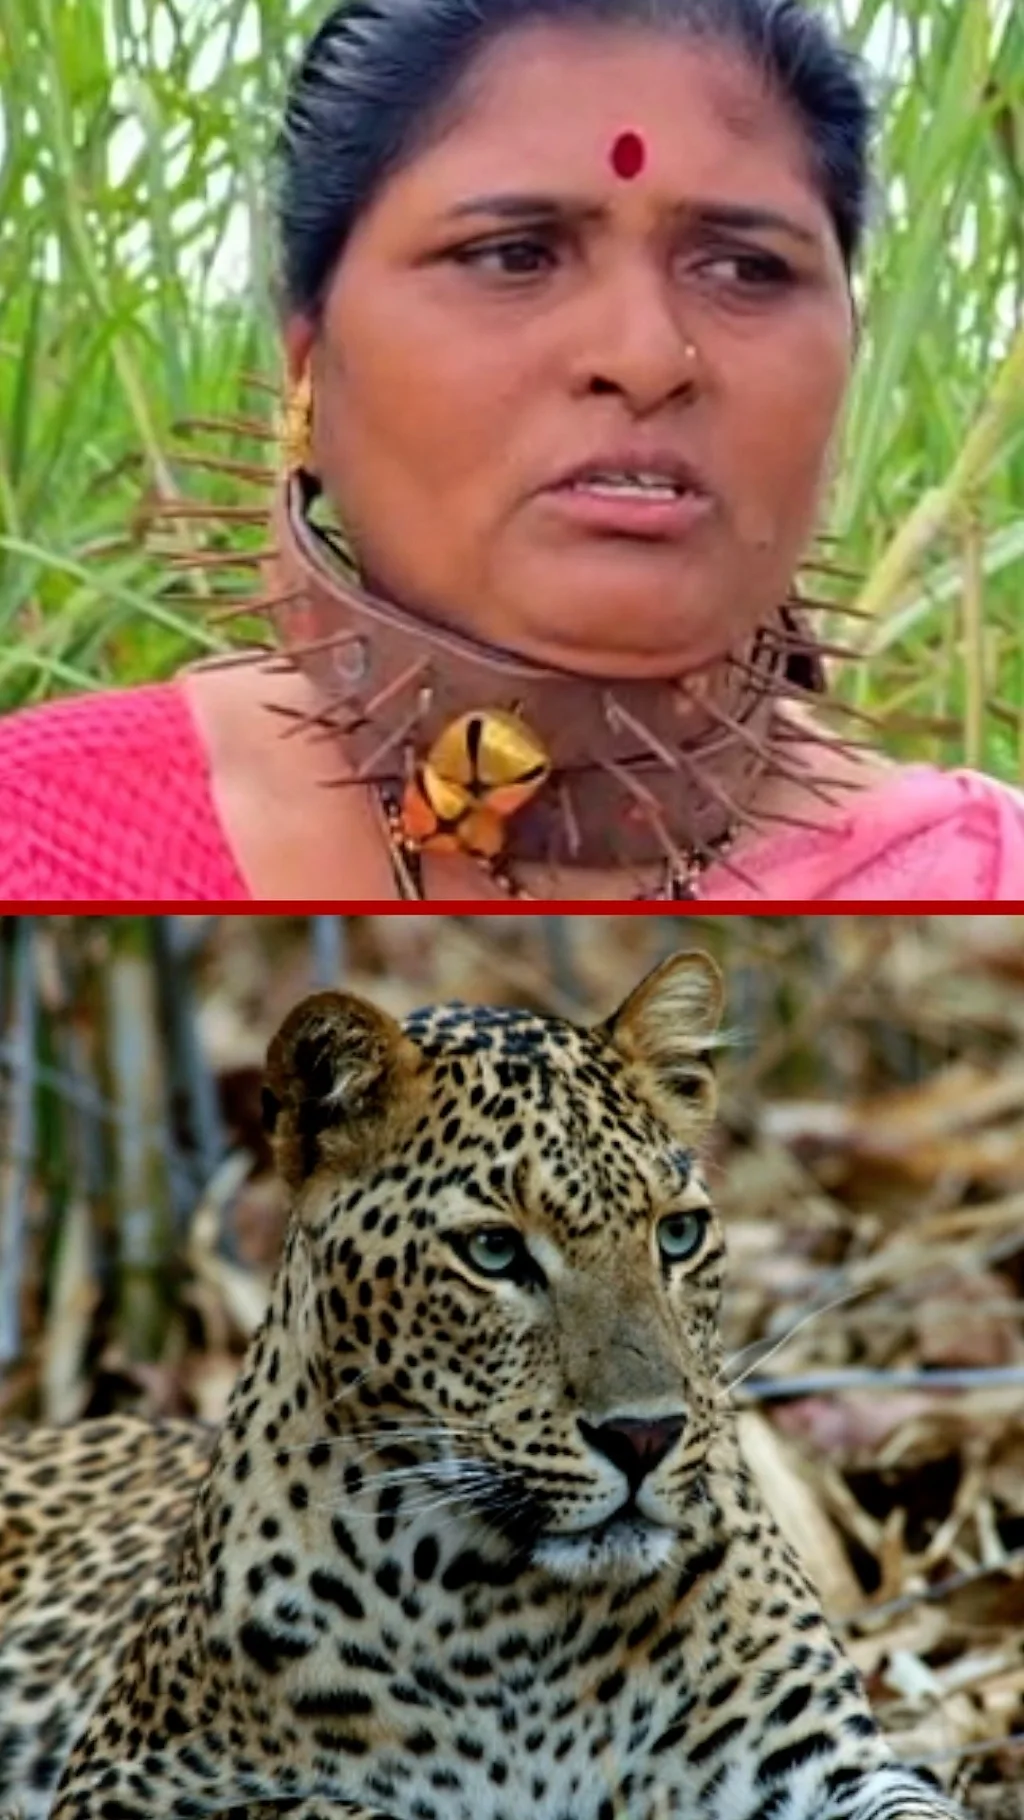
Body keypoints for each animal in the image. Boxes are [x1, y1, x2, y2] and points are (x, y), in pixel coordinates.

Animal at [0, 950, 965, 1820]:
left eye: (678, 1235)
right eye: (495, 1252)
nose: (644, 1437)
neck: (519, 1617)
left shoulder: (828, 1761)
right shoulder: (131, 1784)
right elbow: (339, 1807)